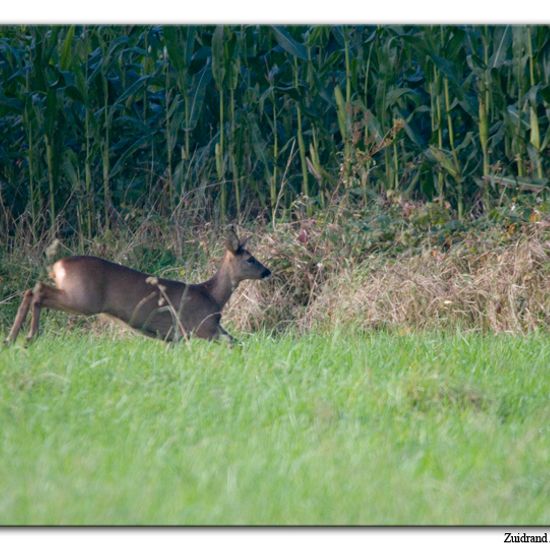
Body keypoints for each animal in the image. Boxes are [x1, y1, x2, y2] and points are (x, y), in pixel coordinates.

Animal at [3, 229, 272, 344]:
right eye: (250, 259)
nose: (267, 271)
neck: (212, 296)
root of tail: (58, 265)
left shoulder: (176, 337)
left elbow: (239, 343)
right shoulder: (201, 326)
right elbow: (235, 343)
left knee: (32, 289)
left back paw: (11, 339)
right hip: (83, 299)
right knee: (38, 291)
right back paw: (28, 336)